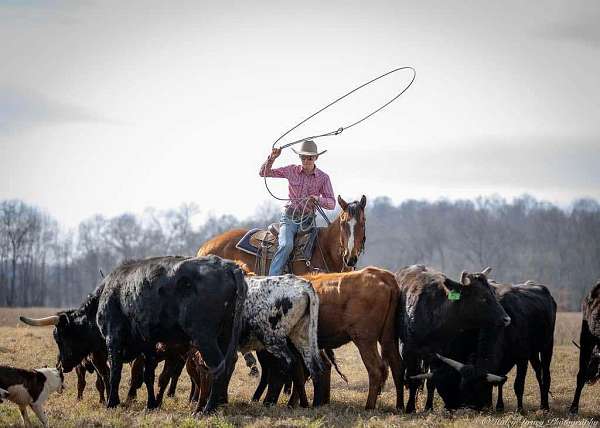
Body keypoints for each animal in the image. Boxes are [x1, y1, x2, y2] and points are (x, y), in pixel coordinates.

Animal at [20, 254, 246, 414]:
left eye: (59, 337)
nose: (61, 364)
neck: (106, 294)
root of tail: (228, 266)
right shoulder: (147, 344)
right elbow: (148, 375)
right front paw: (151, 404)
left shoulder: (113, 338)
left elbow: (115, 373)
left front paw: (112, 402)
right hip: (224, 335)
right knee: (226, 367)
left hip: (204, 338)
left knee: (216, 369)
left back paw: (206, 409)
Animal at [394, 266, 510, 412]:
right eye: (482, 298)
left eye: (493, 294)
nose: (506, 319)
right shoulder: (408, 351)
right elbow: (412, 378)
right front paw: (410, 407)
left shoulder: (438, 355)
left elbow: (431, 381)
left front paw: (428, 407)